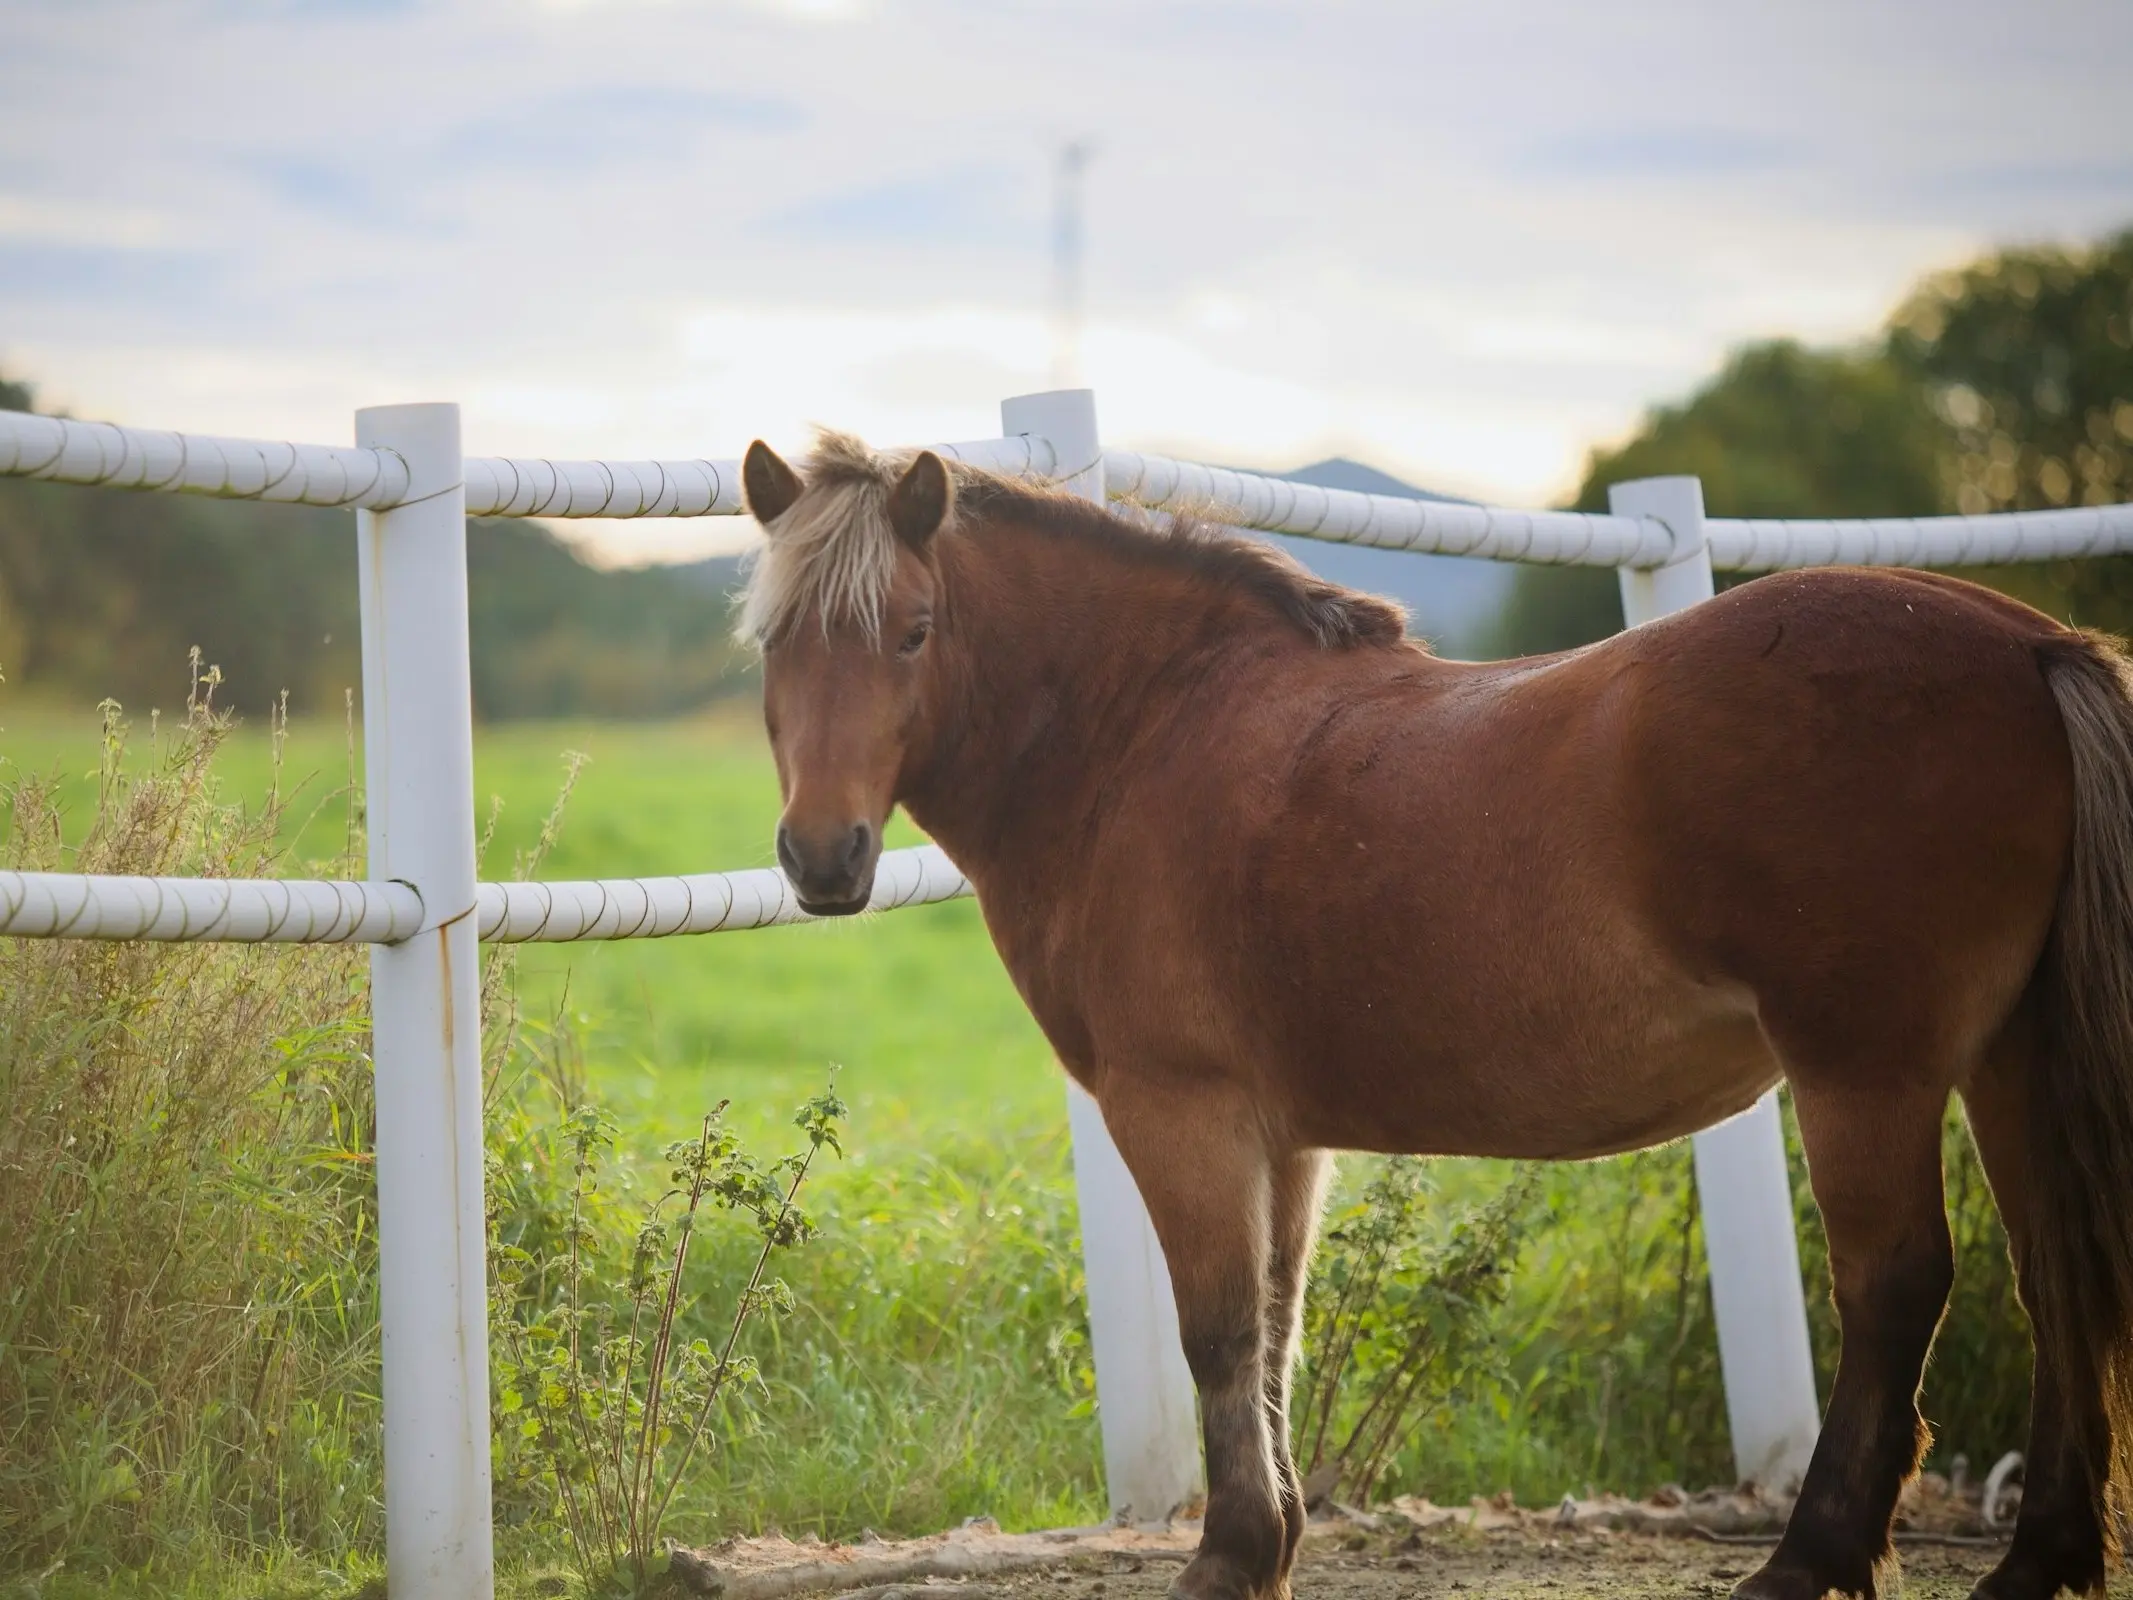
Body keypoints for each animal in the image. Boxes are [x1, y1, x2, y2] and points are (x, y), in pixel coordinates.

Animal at [733, 428, 2133, 1600]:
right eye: (772, 644)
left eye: (913, 631)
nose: (821, 856)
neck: (1147, 732)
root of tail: (2027, 644)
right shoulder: (1282, 1138)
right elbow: (1278, 1325)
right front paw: (1272, 1543)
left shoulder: (1178, 1111)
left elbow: (1218, 1327)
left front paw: (1227, 1555)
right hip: (2005, 1061)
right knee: (2054, 1268)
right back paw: (2038, 1560)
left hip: (1863, 1073)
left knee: (1897, 1288)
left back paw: (1806, 1561)